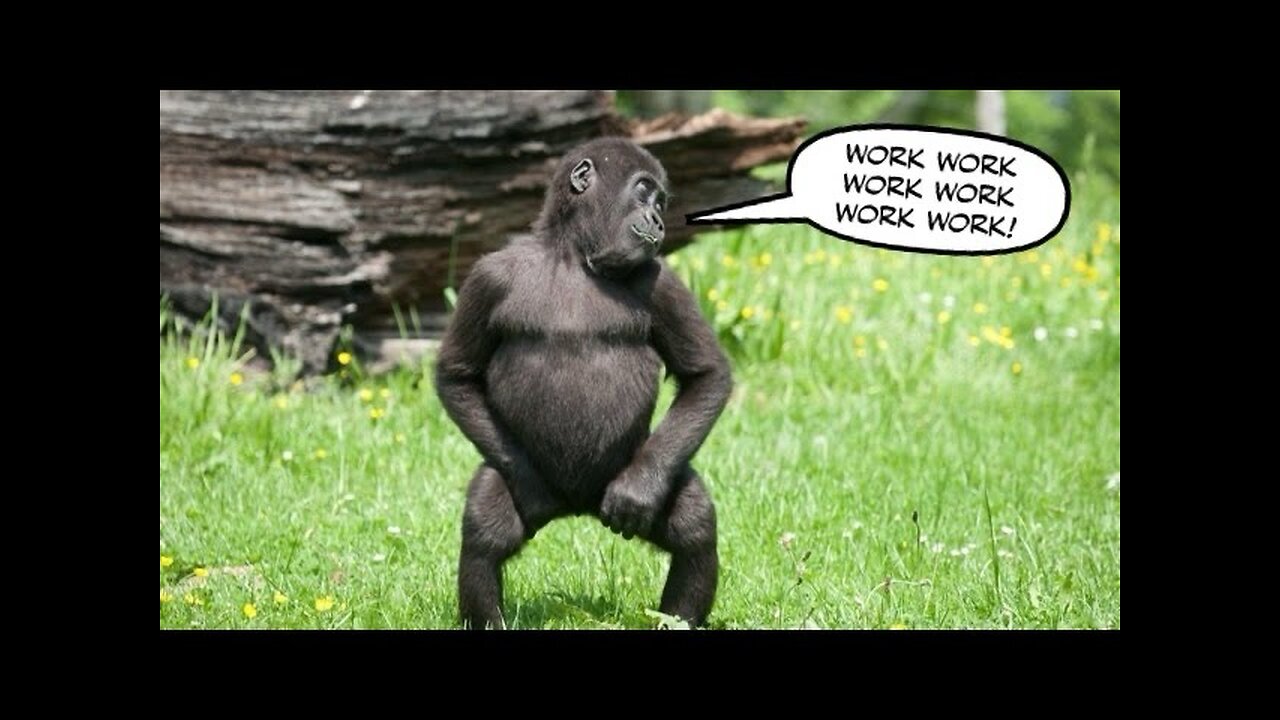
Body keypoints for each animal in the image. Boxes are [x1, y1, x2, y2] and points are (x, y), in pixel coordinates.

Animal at [434, 137, 733, 629]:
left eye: (661, 203)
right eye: (644, 192)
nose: (658, 220)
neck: (575, 257)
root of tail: (577, 505)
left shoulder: (662, 279)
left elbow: (705, 376)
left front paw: (637, 493)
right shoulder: (487, 277)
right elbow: (457, 375)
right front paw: (529, 488)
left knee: (692, 522)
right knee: (485, 526)